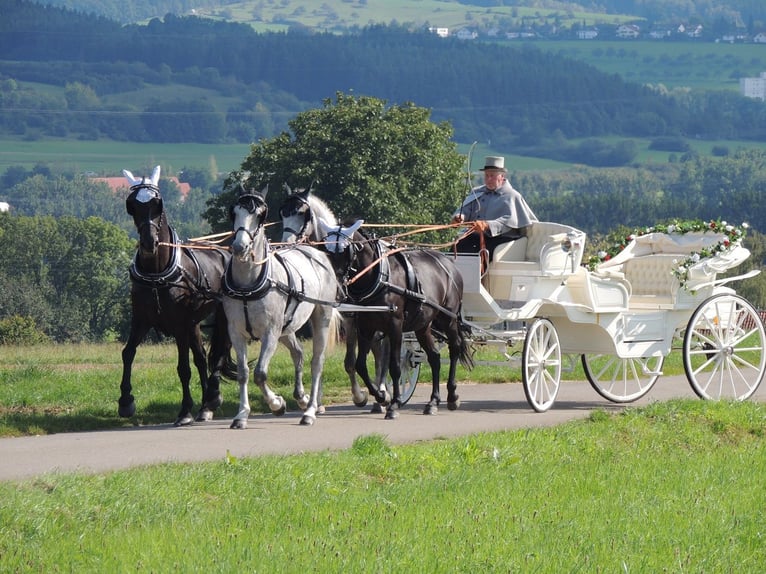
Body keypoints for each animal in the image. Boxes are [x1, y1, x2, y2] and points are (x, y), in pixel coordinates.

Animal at [118, 166, 232, 428]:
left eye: (157, 203)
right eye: (132, 205)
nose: (149, 243)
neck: (156, 273)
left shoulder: (180, 325)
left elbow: (183, 368)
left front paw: (185, 411)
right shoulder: (140, 320)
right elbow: (128, 353)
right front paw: (126, 401)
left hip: (222, 317)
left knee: (220, 351)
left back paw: (213, 395)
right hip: (194, 323)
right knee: (202, 357)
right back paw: (205, 407)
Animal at [222, 187, 342, 430]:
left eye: (260, 215)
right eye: (234, 212)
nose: (239, 247)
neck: (248, 283)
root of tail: (314, 252)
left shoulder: (270, 332)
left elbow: (260, 373)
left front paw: (276, 404)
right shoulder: (236, 332)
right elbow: (243, 373)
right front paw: (242, 414)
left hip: (319, 318)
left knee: (317, 363)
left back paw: (311, 410)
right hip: (286, 327)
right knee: (298, 353)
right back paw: (303, 399)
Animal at [280, 187, 392, 412]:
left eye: (302, 212)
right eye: (282, 213)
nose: (286, 241)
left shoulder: (352, 318)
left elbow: (350, 361)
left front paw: (360, 396)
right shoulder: (332, 315)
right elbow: (322, 356)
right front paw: (318, 401)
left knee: (381, 353)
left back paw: (381, 393)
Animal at [318, 218, 474, 420]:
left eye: (346, 250)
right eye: (326, 250)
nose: (336, 289)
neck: (378, 276)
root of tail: (449, 264)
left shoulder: (395, 327)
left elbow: (395, 366)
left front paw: (393, 404)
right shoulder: (365, 328)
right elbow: (361, 365)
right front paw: (381, 396)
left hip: (448, 319)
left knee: (454, 348)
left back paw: (452, 395)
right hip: (423, 325)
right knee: (434, 357)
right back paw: (432, 402)